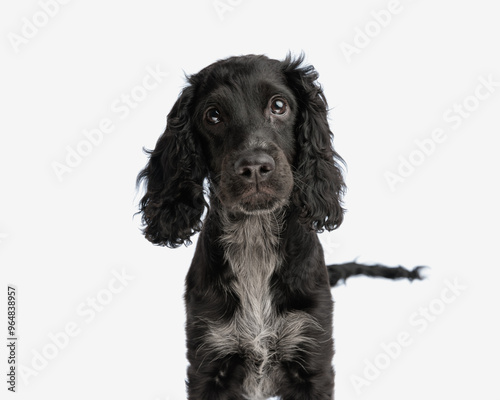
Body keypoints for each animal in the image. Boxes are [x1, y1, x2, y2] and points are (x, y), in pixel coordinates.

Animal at [138, 54, 422, 398]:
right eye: (213, 115)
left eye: (278, 105)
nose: (255, 167)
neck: (255, 237)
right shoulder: (208, 354)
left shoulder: (312, 351)